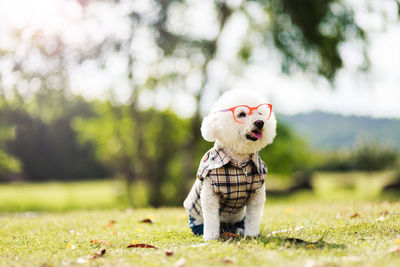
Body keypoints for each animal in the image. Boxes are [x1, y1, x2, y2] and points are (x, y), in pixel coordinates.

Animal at [183, 89, 276, 241]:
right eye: (242, 114)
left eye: (260, 113)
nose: (260, 122)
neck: (239, 160)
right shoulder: (210, 193)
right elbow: (211, 218)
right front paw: (211, 238)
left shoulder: (256, 194)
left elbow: (253, 218)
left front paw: (251, 235)